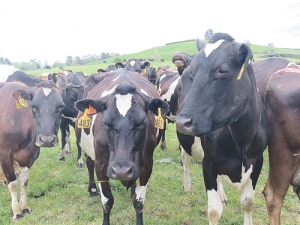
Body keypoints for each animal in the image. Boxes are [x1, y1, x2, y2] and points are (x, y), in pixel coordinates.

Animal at [0, 79, 65, 220]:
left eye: (60, 107)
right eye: (33, 106)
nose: (47, 140)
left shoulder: (31, 155)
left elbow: (24, 182)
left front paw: (24, 207)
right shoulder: (4, 155)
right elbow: (13, 184)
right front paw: (16, 212)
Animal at [74, 68, 169, 225]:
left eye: (142, 123)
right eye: (105, 124)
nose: (121, 171)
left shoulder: (147, 165)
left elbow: (139, 201)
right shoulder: (101, 165)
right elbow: (107, 201)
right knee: (89, 163)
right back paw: (92, 189)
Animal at [175, 32, 270, 224]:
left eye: (223, 70)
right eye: (192, 73)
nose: (182, 121)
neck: (242, 143)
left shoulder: (258, 161)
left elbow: (248, 203)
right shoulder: (209, 164)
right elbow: (213, 211)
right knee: (185, 160)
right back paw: (187, 185)